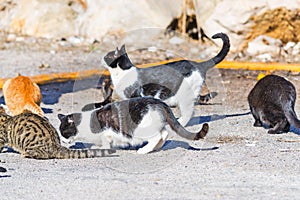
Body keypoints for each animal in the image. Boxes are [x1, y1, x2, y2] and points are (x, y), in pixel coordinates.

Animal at [58, 96, 209, 154]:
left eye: (64, 133)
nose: (63, 141)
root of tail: (160, 103)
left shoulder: (106, 133)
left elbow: (105, 142)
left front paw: (99, 147)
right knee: (164, 134)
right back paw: (155, 148)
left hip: (142, 129)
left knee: (157, 137)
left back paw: (144, 150)